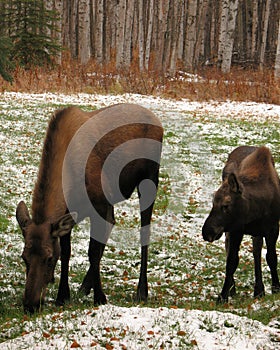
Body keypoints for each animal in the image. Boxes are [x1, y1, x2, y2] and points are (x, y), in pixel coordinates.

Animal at [15, 102, 163, 314]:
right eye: (24, 257)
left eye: (49, 258)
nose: (30, 304)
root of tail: (158, 122)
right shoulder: (70, 214)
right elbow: (67, 252)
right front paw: (63, 296)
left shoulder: (99, 204)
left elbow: (92, 251)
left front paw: (100, 298)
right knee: (112, 223)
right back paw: (85, 286)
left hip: (150, 179)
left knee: (144, 230)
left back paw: (142, 291)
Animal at [202, 146, 280, 302]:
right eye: (213, 203)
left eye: (226, 205)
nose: (207, 232)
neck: (256, 211)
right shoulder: (236, 229)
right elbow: (232, 262)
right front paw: (223, 295)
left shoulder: (273, 228)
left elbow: (271, 257)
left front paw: (276, 288)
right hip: (230, 231)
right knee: (229, 248)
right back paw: (235, 289)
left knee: (256, 251)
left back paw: (259, 289)